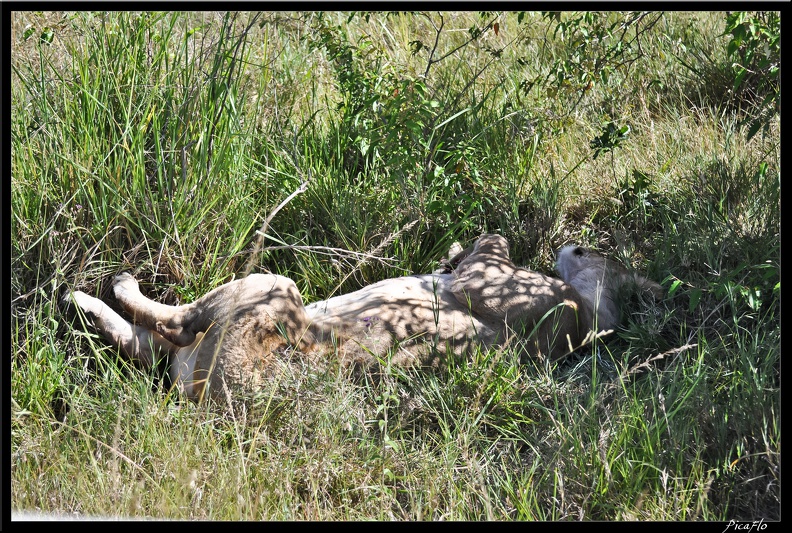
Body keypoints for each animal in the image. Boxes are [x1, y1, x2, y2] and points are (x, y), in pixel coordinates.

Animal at [66, 233, 664, 400]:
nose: (577, 246)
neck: (587, 319)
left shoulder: (489, 279)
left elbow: (491, 242)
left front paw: (455, 252)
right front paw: (449, 250)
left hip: (271, 289)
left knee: (170, 324)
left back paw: (107, 288)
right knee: (151, 341)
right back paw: (87, 305)